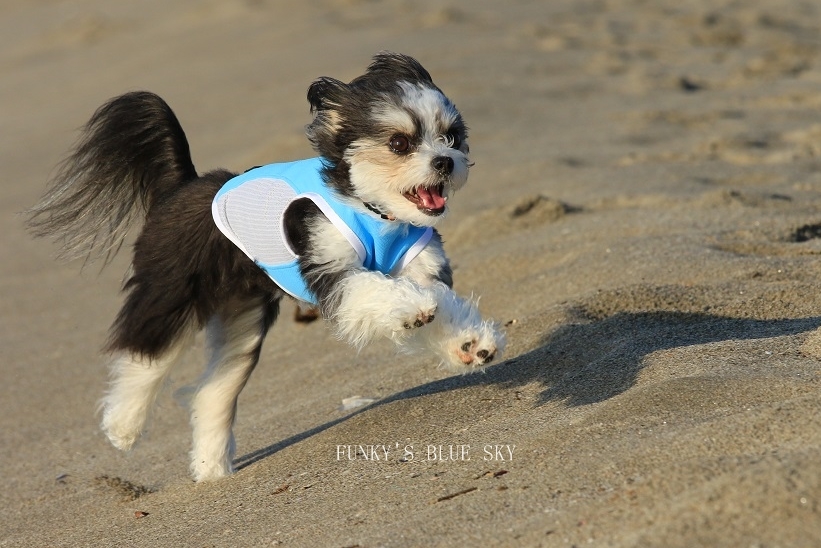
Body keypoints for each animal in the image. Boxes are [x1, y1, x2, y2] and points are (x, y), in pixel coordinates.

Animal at [28, 51, 502, 480]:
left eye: (452, 137)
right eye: (400, 143)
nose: (445, 162)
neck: (373, 211)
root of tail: (183, 185)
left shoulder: (422, 266)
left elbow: (443, 303)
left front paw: (467, 343)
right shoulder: (332, 272)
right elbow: (380, 291)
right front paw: (413, 310)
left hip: (242, 319)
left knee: (213, 391)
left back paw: (211, 469)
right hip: (171, 291)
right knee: (144, 354)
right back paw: (122, 427)